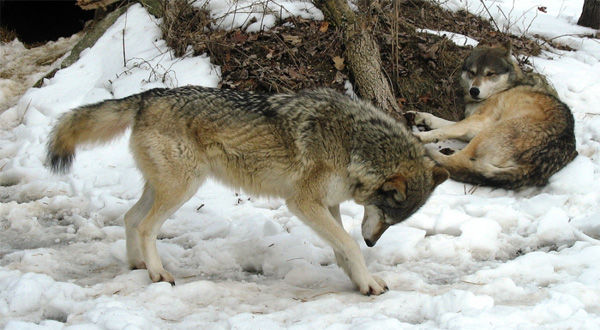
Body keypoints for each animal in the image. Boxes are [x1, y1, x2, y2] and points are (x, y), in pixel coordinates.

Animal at [47, 86, 448, 296]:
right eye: (385, 216)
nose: (372, 243)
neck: (356, 144)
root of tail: (146, 95)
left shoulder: (327, 204)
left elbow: (341, 247)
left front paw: (359, 279)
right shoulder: (303, 203)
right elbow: (347, 244)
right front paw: (365, 280)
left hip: (166, 187)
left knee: (131, 218)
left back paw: (137, 265)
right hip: (183, 188)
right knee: (146, 226)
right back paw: (158, 275)